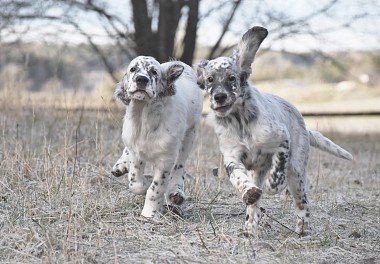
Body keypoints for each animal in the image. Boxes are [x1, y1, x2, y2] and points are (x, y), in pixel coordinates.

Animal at [111, 56, 203, 219]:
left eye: (154, 72)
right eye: (133, 69)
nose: (141, 79)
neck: (144, 118)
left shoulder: (165, 160)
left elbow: (156, 189)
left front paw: (150, 214)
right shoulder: (136, 152)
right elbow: (135, 182)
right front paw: (142, 184)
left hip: (190, 135)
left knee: (180, 165)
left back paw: (176, 191)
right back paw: (120, 165)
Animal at [196, 26, 354, 236]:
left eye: (232, 78)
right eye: (210, 79)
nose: (219, 97)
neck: (240, 121)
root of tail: (304, 125)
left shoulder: (281, 139)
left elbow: (278, 167)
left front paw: (273, 185)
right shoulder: (232, 156)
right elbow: (238, 178)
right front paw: (248, 192)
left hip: (296, 172)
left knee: (303, 202)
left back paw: (303, 228)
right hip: (258, 172)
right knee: (254, 205)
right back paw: (250, 228)